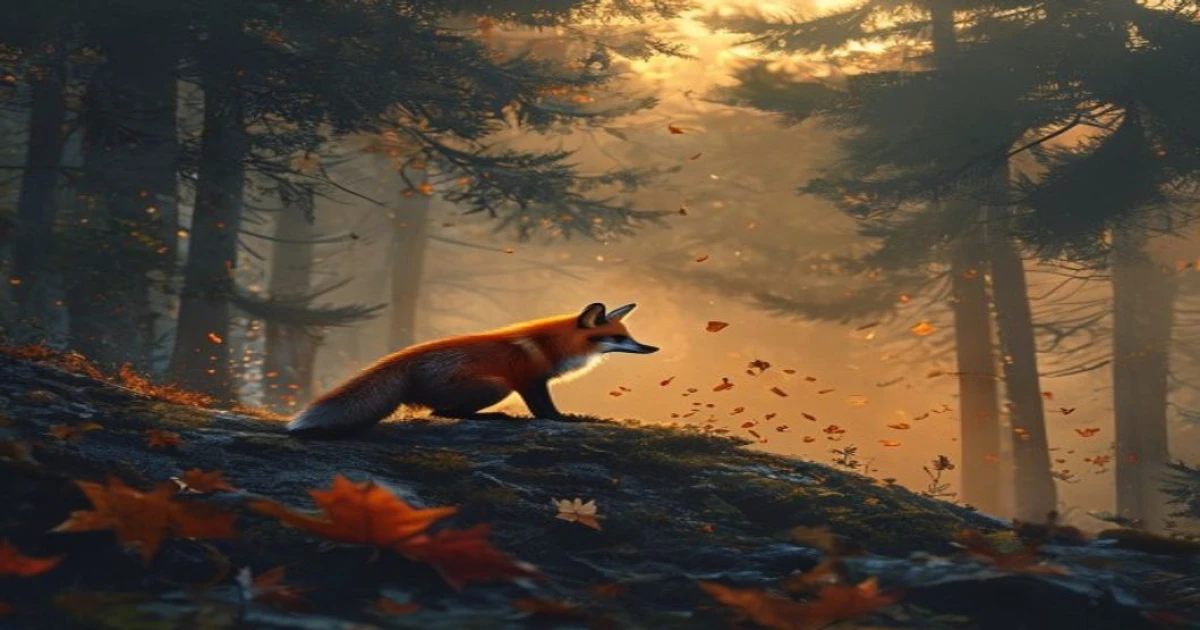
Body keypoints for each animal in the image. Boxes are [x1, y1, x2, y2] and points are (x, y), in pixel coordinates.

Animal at [287, 302, 659, 437]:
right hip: (495, 386)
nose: (651, 349)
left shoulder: (532, 382)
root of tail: (403, 358)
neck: (554, 346)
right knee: (440, 412)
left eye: (629, 337)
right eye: (618, 338)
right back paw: (494, 417)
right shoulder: (529, 381)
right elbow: (546, 412)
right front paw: (571, 420)